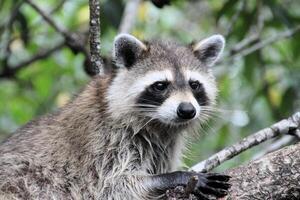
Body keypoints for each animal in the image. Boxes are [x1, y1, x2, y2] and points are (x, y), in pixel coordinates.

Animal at [0, 33, 230, 199]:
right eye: (160, 85)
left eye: (194, 84)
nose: (187, 110)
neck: (159, 125)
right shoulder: (104, 142)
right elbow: (115, 185)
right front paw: (177, 177)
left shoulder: (165, 146)